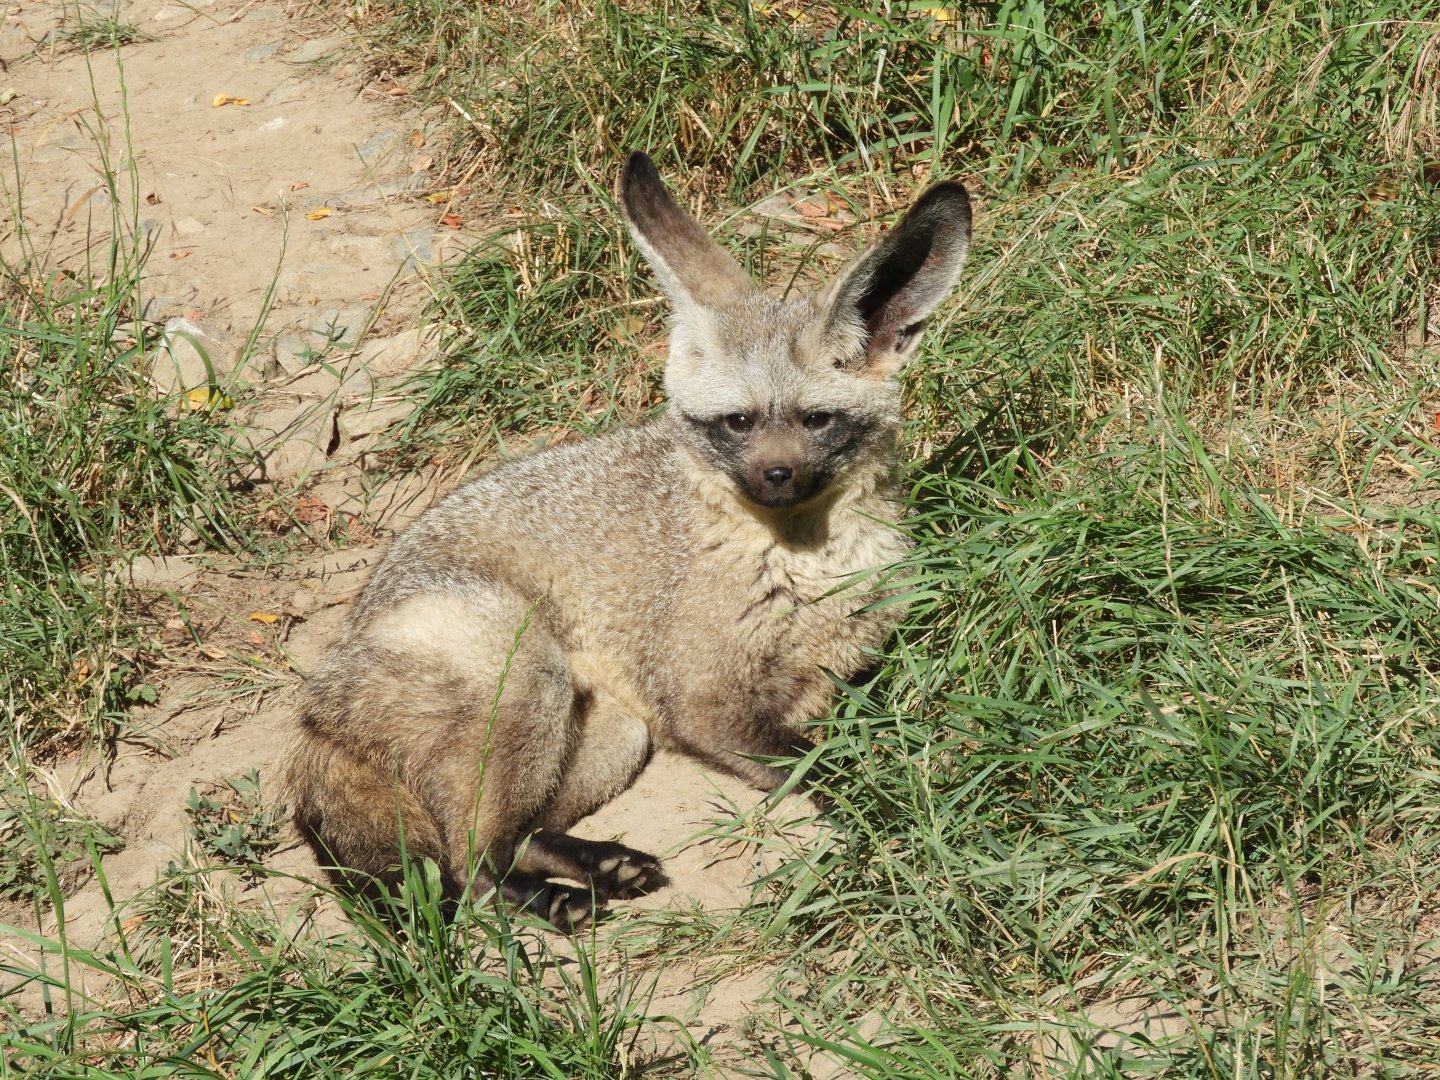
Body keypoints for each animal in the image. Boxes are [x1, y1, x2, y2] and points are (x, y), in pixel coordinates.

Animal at [284, 152, 971, 929]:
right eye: (736, 422)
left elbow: (867, 734)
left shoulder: (843, 668)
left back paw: (601, 866)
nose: (775, 477)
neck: (808, 570)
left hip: (610, 737)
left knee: (518, 836)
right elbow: (835, 762)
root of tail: (314, 705)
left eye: (816, 420)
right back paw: (557, 902)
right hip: (531, 679)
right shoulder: (701, 704)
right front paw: (897, 798)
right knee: (469, 865)